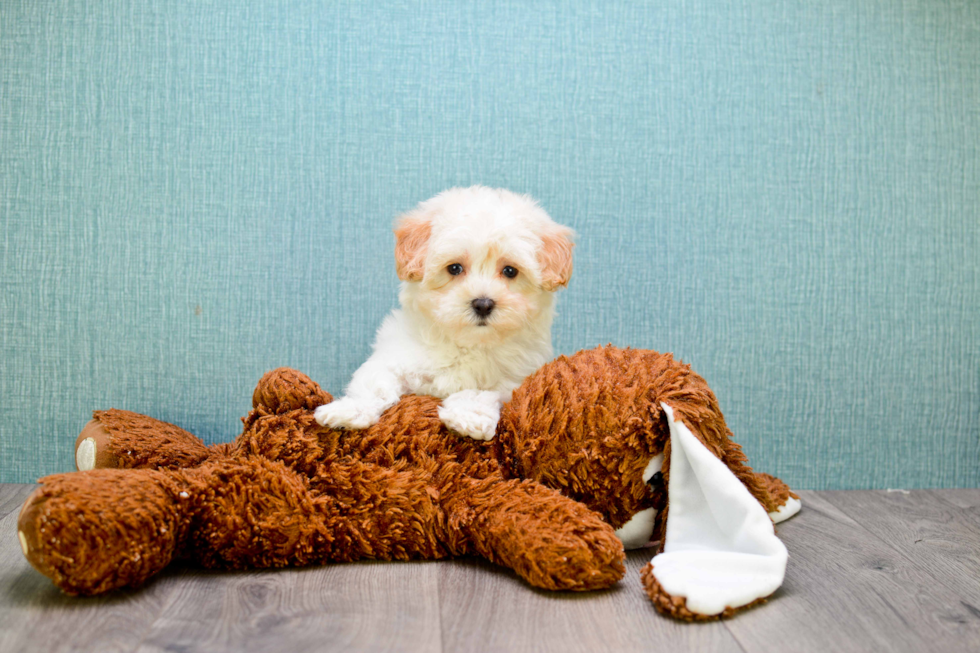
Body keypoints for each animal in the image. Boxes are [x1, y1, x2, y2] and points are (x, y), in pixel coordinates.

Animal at [314, 188, 576, 440]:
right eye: (454, 268)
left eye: (510, 271)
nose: (483, 304)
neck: (467, 344)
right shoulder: (394, 357)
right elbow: (374, 384)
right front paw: (348, 410)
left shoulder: (510, 381)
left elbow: (478, 392)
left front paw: (468, 417)